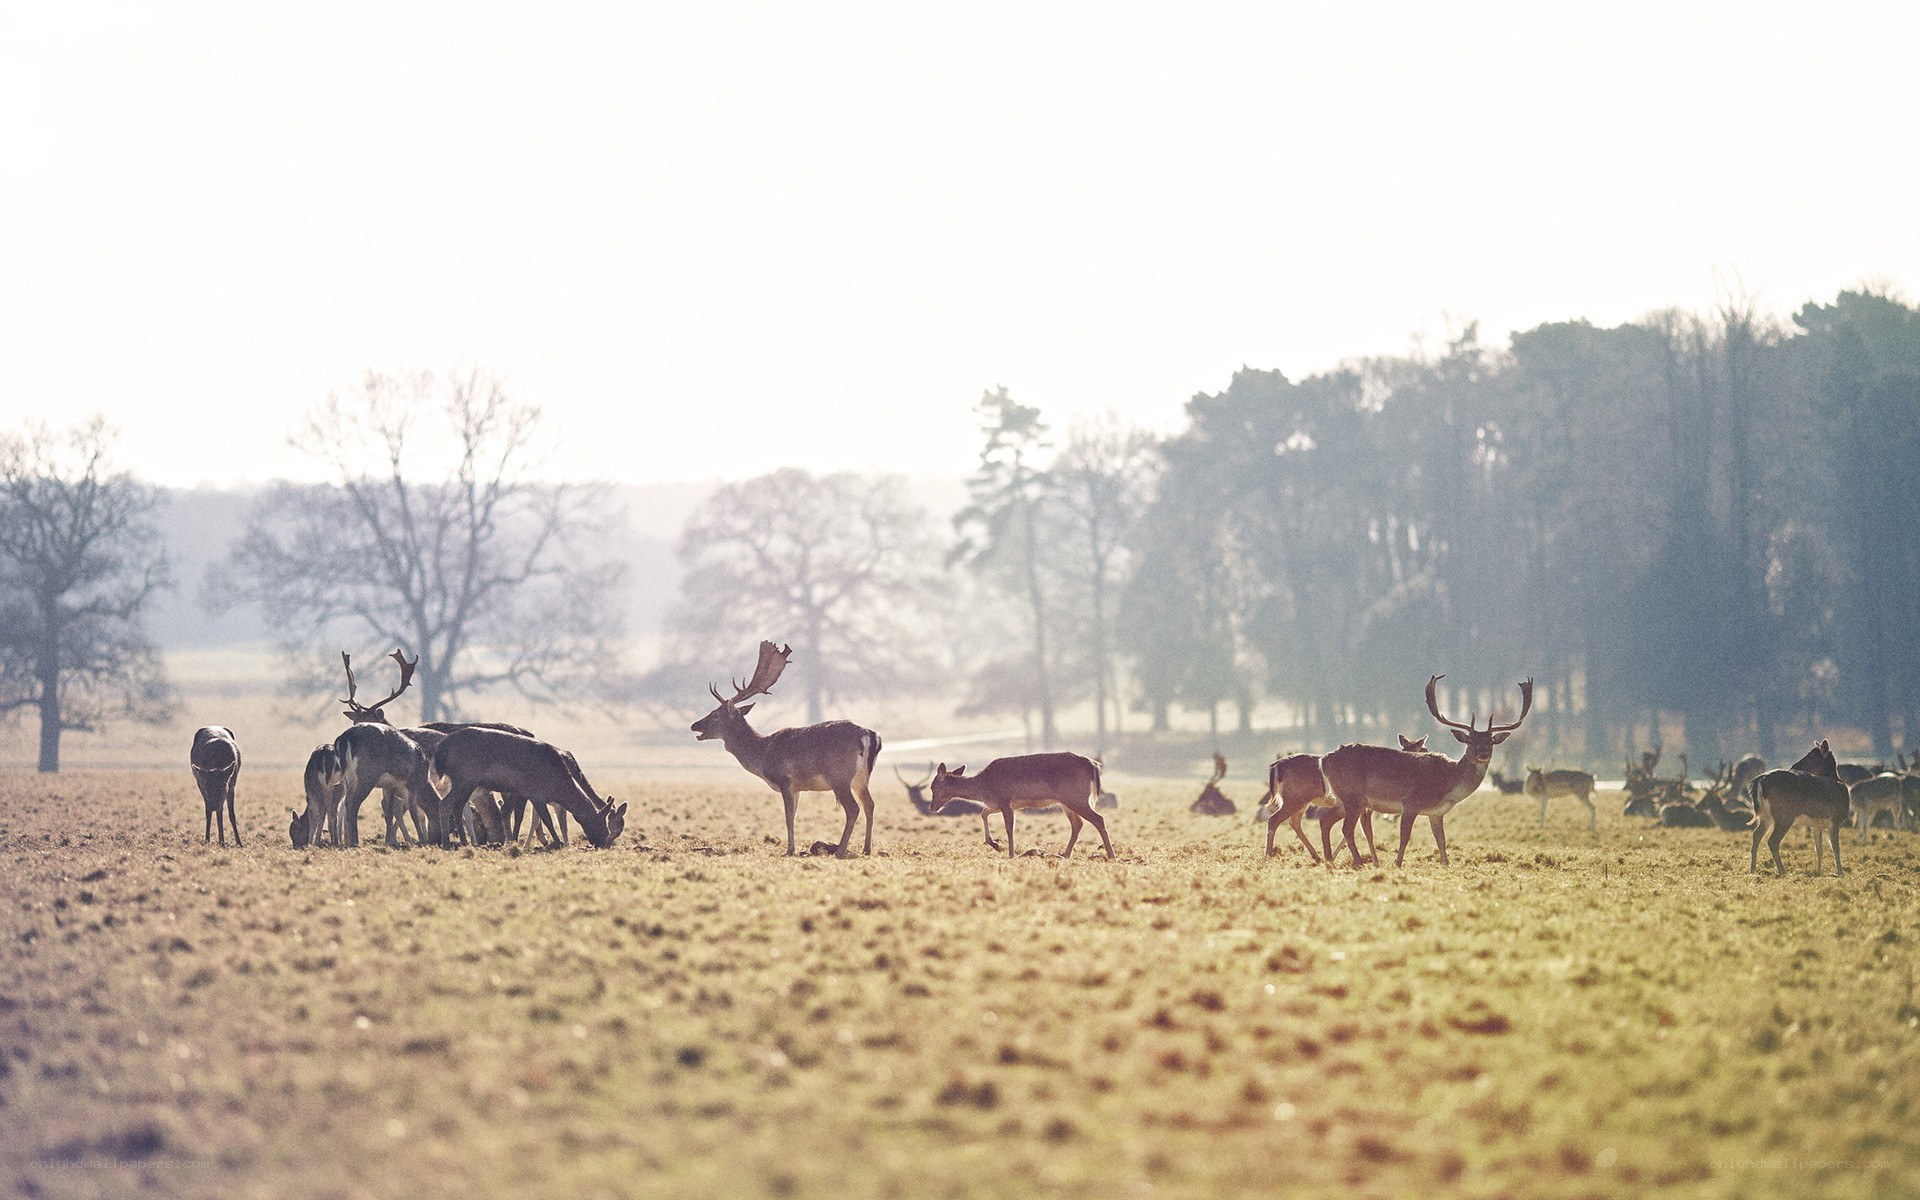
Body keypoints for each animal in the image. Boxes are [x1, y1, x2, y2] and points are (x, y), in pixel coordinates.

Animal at [428, 727, 627, 849]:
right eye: (601, 823)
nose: (603, 843)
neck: (558, 783)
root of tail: (441, 750)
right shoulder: (535, 793)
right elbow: (546, 819)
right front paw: (557, 843)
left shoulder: (526, 793)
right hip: (463, 778)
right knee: (445, 803)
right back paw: (446, 844)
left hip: (467, 782)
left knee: (457, 807)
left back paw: (465, 842)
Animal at [690, 640, 882, 857]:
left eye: (714, 714)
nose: (694, 725)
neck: (762, 753)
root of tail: (871, 735)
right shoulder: (797, 787)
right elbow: (795, 815)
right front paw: (792, 847)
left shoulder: (785, 779)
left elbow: (788, 816)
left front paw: (790, 849)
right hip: (861, 778)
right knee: (870, 804)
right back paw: (867, 849)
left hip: (839, 776)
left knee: (853, 808)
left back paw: (840, 850)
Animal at [929, 753, 1113, 859]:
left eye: (932, 787)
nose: (932, 808)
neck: (985, 788)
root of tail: (1093, 765)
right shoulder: (996, 803)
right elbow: (983, 813)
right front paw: (994, 844)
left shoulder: (1005, 800)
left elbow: (1009, 827)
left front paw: (1010, 854)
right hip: (1067, 802)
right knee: (1078, 824)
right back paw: (1064, 855)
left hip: (1076, 797)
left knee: (1098, 819)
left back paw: (1111, 855)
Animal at [1320, 674, 1533, 869]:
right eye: (1470, 741)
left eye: (1491, 742)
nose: (1483, 752)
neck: (1448, 783)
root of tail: (1325, 759)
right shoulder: (1410, 802)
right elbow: (1405, 837)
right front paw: (1397, 864)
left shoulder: (1436, 813)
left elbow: (1441, 841)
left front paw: (1446, 864)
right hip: (1353, 798)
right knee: (1346, 829)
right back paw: (1358, 863)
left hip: (1344, 800)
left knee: (1325, 820)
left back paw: (1329, 861)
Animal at [1749, 740, 1850, 876]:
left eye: (1812, 756)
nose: (1795, 765)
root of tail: (1759, 781)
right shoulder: (1835, 819)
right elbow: (1836, 847)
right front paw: (1839, 872)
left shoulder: (1816, 825)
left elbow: (1819, 849)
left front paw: (1818, 871)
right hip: (1784, 816)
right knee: (1772, 841)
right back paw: (1783, 871)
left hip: (1766, 816)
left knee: (1756, 835)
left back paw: (1753, 870)